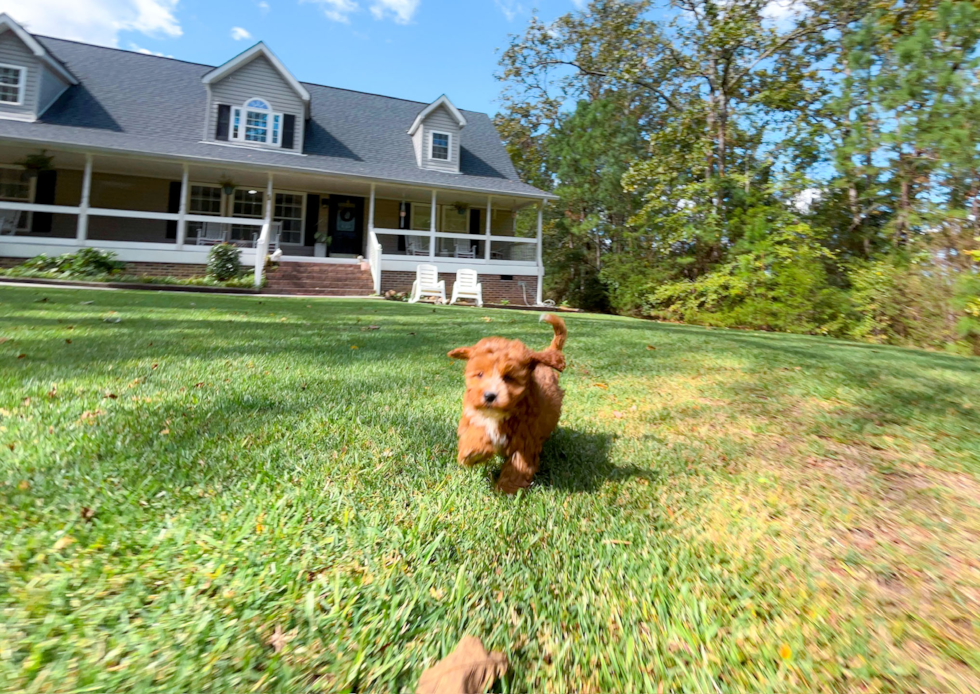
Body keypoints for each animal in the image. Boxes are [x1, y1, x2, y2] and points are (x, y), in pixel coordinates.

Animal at [450, 316, 568, 494]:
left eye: (508, 377)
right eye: (480, 374)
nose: (490, 395)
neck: (500, 414)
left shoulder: (526, 438)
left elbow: (518, 464)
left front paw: (506, 490)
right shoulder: (473, 414)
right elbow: (478, 429)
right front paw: (473, 452)